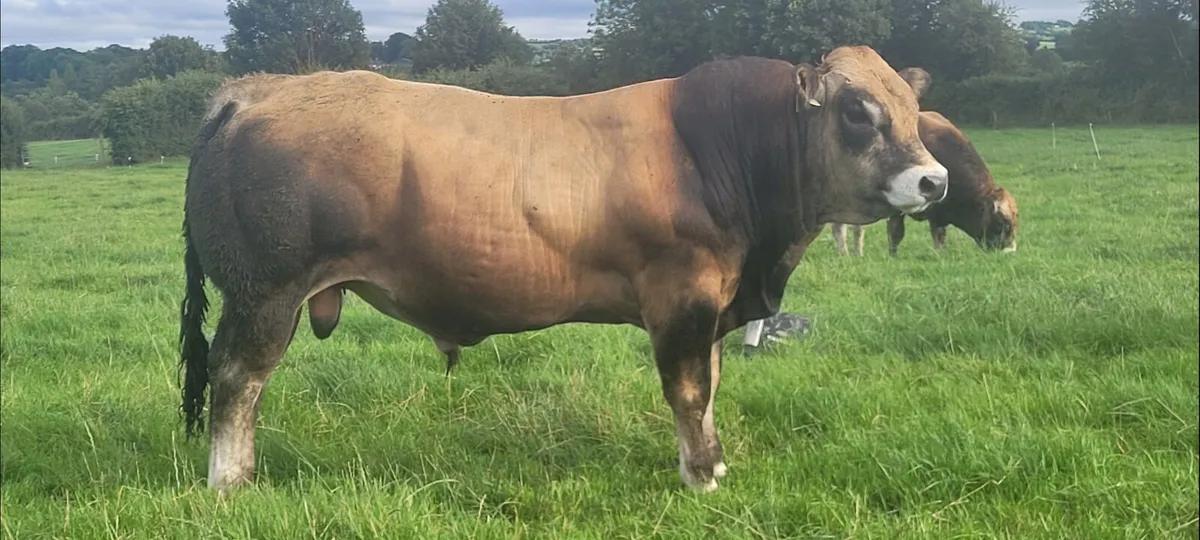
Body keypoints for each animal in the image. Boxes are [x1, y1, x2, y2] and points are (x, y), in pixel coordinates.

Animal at [177, 45, 949, 495]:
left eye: (913, 108)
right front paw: (702, 478)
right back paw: (231, 483)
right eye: (857, 111)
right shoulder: (683, 295)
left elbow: (711, 384)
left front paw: (708, 463)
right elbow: (690, 390)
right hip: (265, 292)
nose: (933, 180)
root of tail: (255, 91)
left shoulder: (714, 304)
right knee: (237, 379)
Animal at [829, 110, 1019, 257]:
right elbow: (896, 232)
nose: (1009, 251)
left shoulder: (939, 212)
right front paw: (893, 256)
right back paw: (844, 254)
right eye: (1001, 223)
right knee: (841, 228)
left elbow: (939, 235)